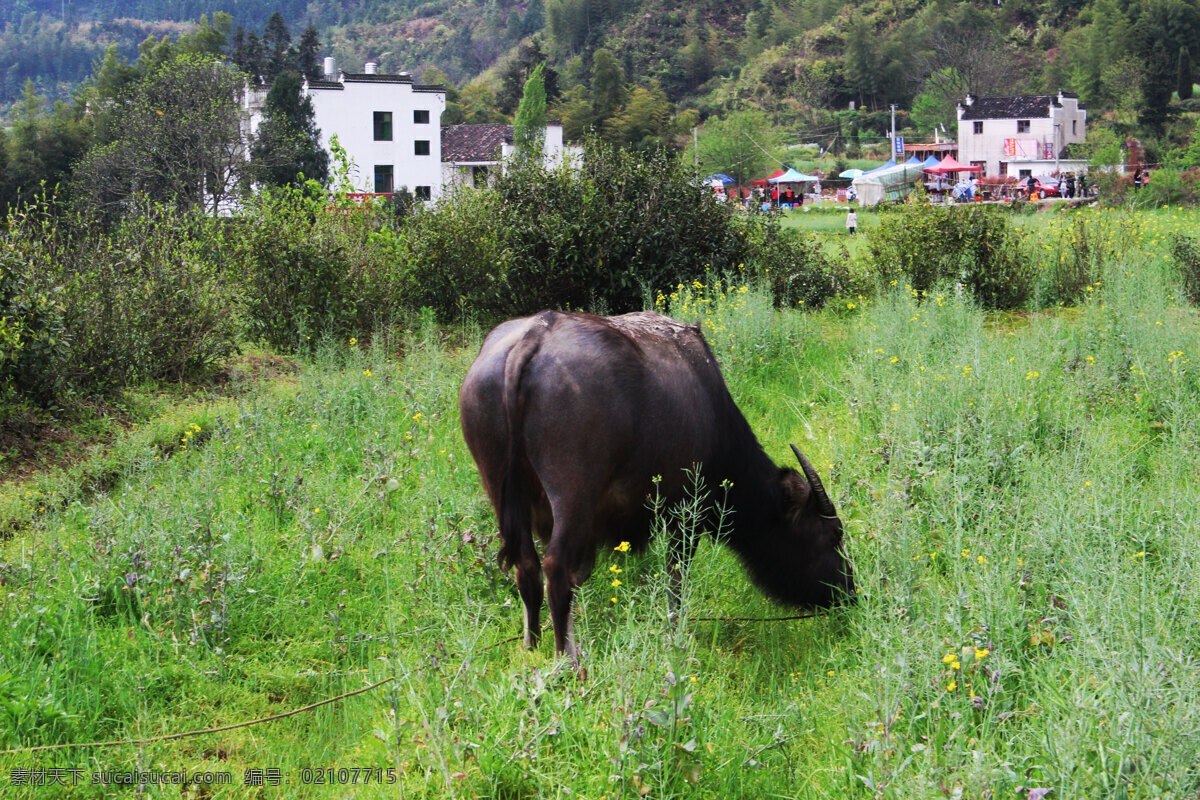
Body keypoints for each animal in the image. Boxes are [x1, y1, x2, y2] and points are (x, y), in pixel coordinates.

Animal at [456, 311, 854, 657]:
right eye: (833, 535)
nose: (850, 591)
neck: (713, 416)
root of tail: (533, 336)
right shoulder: (686, 515)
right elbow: (676, 578)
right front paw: (675, 634)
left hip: (502, 489)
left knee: (527, 566)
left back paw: (532, 644)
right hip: (572, 495)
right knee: (556, 568)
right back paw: (567, 657)